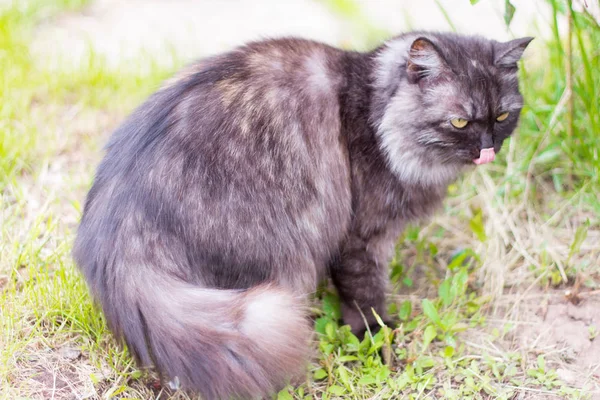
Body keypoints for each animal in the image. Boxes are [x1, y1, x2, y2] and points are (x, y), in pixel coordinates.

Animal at [72, 32, 532, 400]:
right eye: (460, 121)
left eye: (502, 116)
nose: (488, 150)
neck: (373, 110)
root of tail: (117, 228)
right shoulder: (360, 239)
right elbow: (366, 299)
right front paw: (379, 342)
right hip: (284, 256)